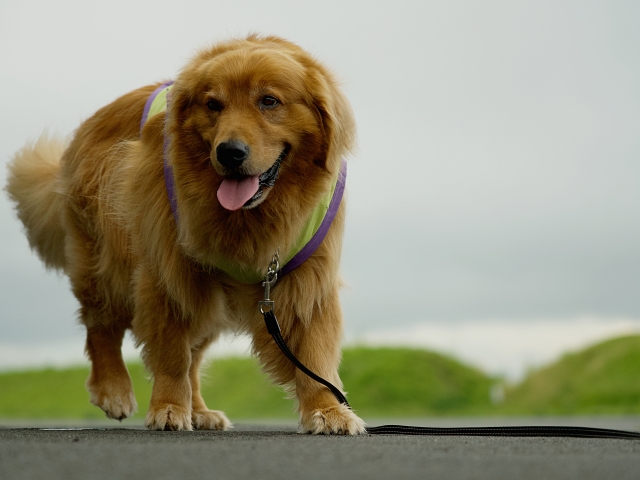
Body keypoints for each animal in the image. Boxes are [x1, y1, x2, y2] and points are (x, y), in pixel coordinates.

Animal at [6, 34, 364, 436]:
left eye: (269, 101)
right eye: (213, 105)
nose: (229, 152)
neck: (252, 218)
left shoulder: (308, 280)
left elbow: (314, 354)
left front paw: (327, 410)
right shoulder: (169, 275)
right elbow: (172, 353)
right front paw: (168, 406)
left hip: (208, 300)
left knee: (193, 355)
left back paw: (200, 410)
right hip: (108, 261)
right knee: (101, 324)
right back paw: (114, 388)